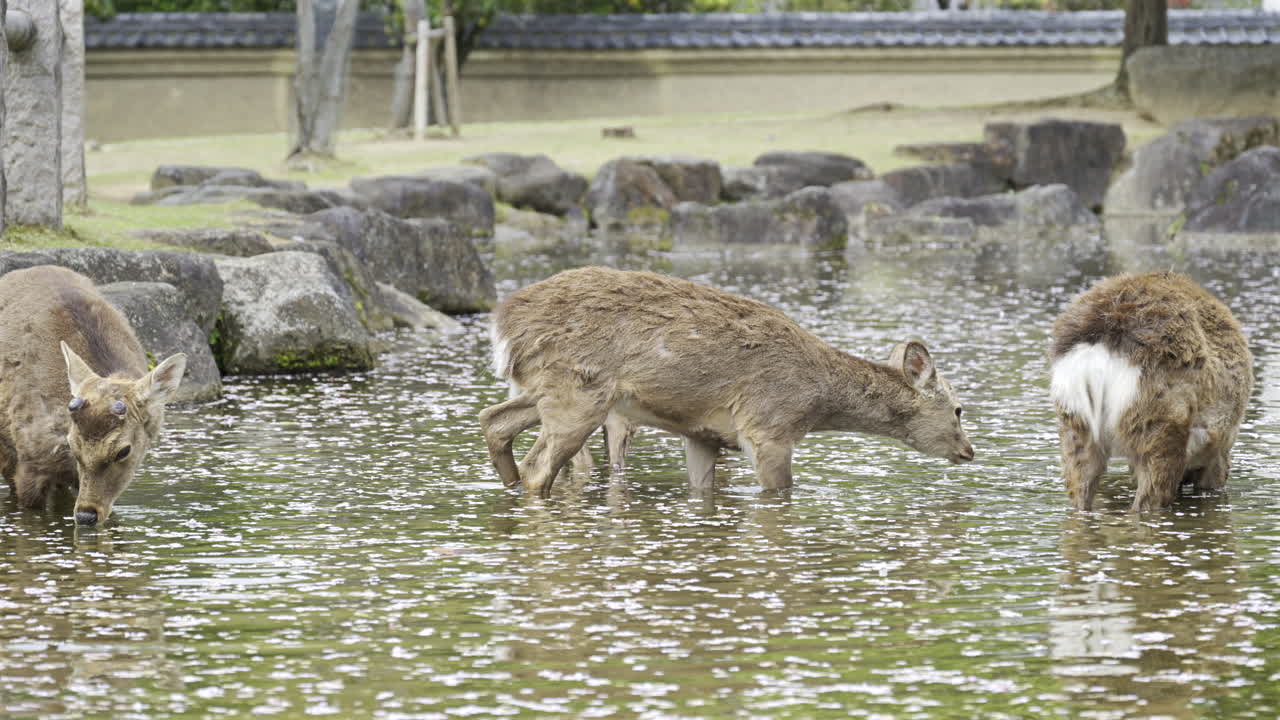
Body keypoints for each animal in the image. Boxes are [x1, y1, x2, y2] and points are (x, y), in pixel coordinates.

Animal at [479, 266, 973, 497]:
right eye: (958, 408)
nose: (969, 451)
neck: (817, 400)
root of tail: (505, 323)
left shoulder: (703, 433)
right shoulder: (767, 425)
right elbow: (779, 490)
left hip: (542, 387)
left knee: (493, 420)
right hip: (580, 391)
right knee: (538, 467)